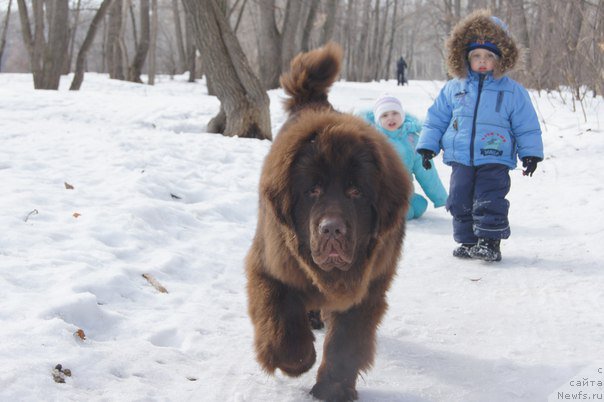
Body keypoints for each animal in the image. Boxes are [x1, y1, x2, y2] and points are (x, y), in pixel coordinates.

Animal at [245, 42, 410, 400]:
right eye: (313, 190)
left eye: (356, 192)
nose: (331, 229)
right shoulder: (270, 267)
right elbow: (282, 325)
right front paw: (298, 361)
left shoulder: (368, 286)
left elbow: (345, 344)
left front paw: (332, 389)